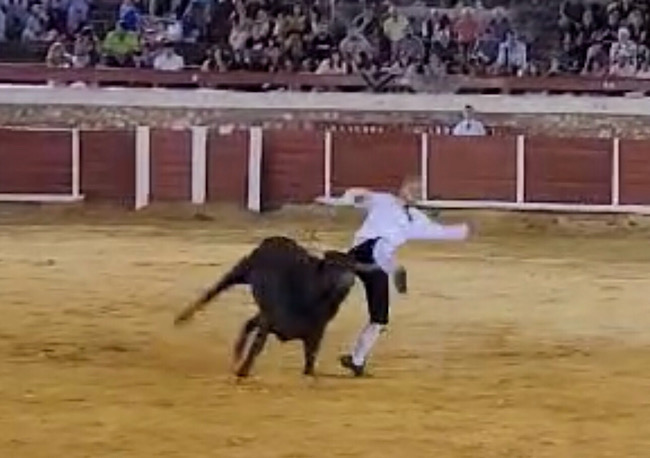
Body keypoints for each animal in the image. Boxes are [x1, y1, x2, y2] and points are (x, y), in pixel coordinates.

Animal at [173, 234, 374, 378]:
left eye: (352, 268)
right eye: (332, 266)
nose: (346, 280)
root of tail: (275, 240)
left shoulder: (317, 329)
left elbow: (311, 355)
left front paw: (310, 373)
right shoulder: (270, 319)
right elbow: (258, 345)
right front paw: (243, 372)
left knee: (248, 323)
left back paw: (237, 352)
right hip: (241, 271)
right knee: (215, 290)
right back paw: (182, 317)